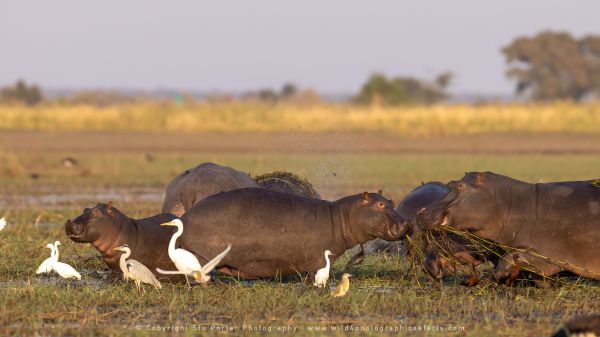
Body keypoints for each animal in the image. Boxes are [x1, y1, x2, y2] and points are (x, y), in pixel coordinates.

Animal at [178, 188, 410, 276]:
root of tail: (185, 217)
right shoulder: (319, 260)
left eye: (391, 201)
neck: (341, 216)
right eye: (380, 204)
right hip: (203, 255)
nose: (406, 222)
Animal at [420, 171, 600, 280]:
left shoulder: (546, 253)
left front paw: (495, 276)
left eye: (460, 187)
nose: (421, 212)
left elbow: (509, 259)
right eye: (449, 184)